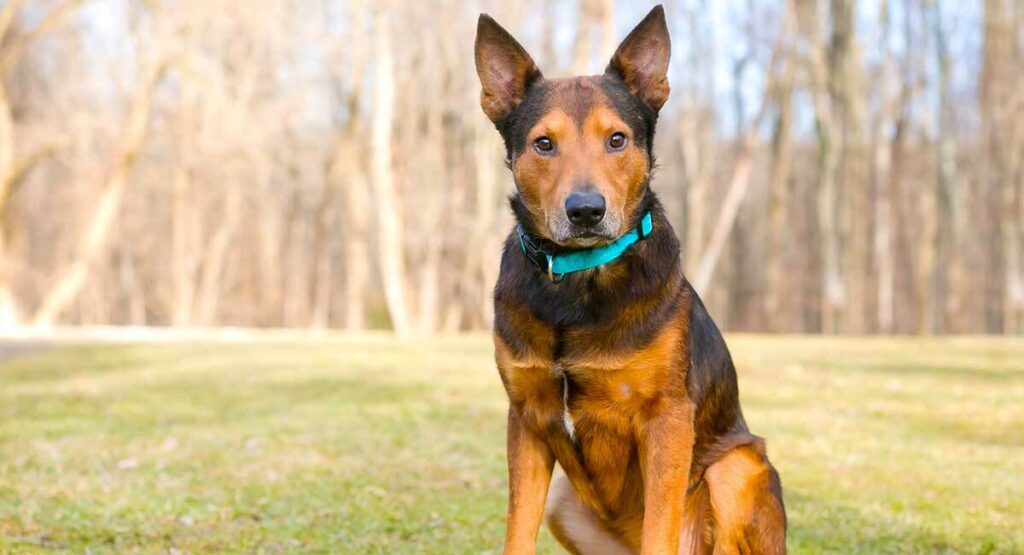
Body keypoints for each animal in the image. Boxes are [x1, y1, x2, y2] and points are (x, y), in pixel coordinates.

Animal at [475, 5, 786, 555]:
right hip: (564, 503)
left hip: (734, 468)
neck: (578, 283)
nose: (585, 210)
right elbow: (517, 532)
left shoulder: (667, 421)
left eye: (616, 139)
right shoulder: (526, 420)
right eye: (543, 144)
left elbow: (661, 525)